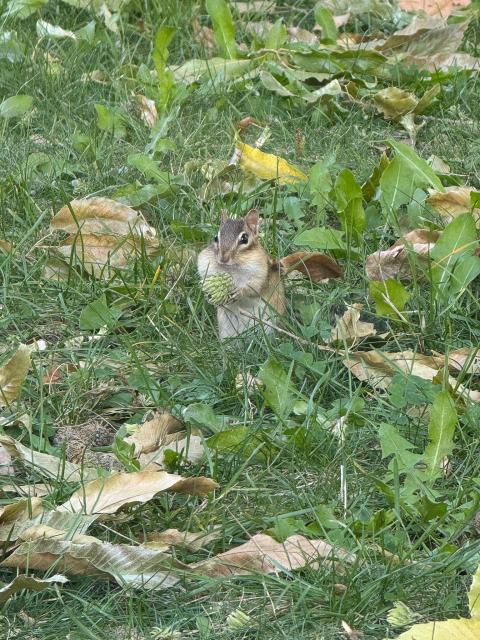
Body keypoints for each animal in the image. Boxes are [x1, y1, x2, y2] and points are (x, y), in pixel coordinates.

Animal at [197, 209, 342, 340]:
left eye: (244, 239)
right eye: (216, 238)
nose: (223, 259)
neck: (231, 269)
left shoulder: (259, 275)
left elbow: (253, 288)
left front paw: (240, 292)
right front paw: (209, 296)